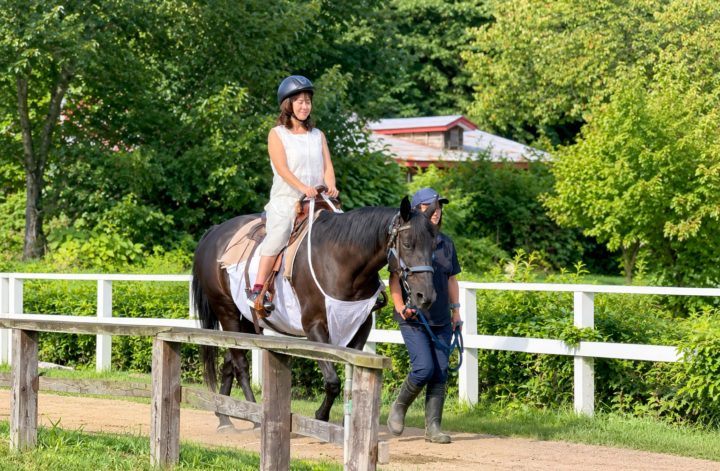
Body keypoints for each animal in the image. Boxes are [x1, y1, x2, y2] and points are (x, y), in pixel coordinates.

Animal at [191, 194, 439, 433]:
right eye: (407, 244)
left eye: (434, 246)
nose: (425, 296)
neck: (341, 261)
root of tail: (215, 232)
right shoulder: (314, 327)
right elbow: (332, 381)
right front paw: (321, 416)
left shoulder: (361, 325)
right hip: (226, 311)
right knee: (240, 366)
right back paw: (255, 419)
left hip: (245, 321)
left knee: (229, 363)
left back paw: (225, 418)